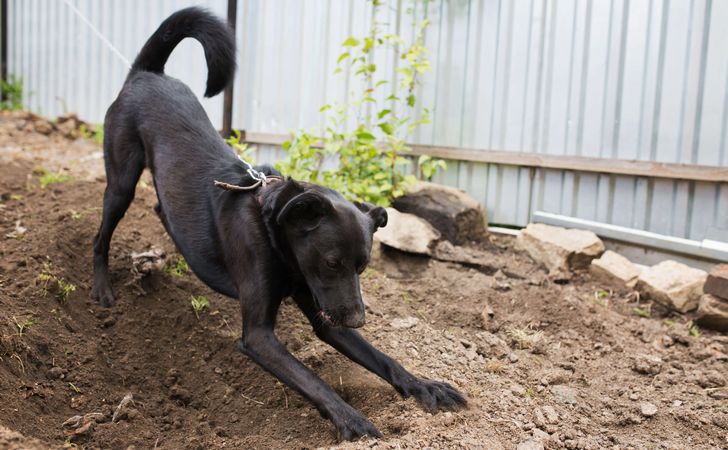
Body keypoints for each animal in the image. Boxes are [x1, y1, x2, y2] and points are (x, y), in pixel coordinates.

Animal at [92, 7, 466, 442]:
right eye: (332, 262)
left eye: (363, 267)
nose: (359, 319)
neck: (272, 229)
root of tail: (147, 74)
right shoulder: (260, 336)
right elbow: (313, 381)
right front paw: (353, 420)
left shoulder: (326, 313)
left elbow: (383, 358)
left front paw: (424, 385)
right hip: (121, 180)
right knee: (101, 235)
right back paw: (101, 288)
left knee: (161, 209)